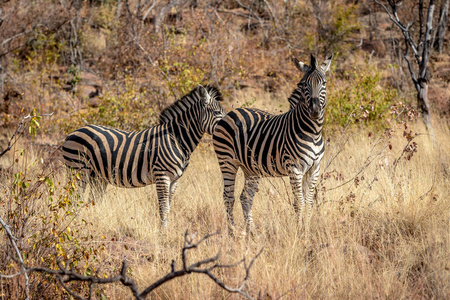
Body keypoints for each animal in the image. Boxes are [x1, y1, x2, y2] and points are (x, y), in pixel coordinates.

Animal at [61, 85, 227, 226]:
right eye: (217, 113)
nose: (228, 126)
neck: (176, 139)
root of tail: (72, 132)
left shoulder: (175, 179)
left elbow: (169, 206)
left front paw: (166, 229)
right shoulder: (162, 175)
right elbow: (163, 207)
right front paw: (162, 232)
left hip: (97, 175)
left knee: (93, 200)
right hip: (77, 169)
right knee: (74, 198)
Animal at [213, 55, 332, 236]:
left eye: (324, 83)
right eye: (304, 84)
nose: (315, 111)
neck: (313, 132)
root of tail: (230, 113)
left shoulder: (314, 169)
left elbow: (309, 202)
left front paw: (306, 231)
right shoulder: (294, 168)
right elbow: (299, 202)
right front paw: (298, 233)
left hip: (250, 168)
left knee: (245, 197)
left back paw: (252, 232)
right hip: (227, 161)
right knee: (228, 197)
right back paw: (232, 232)